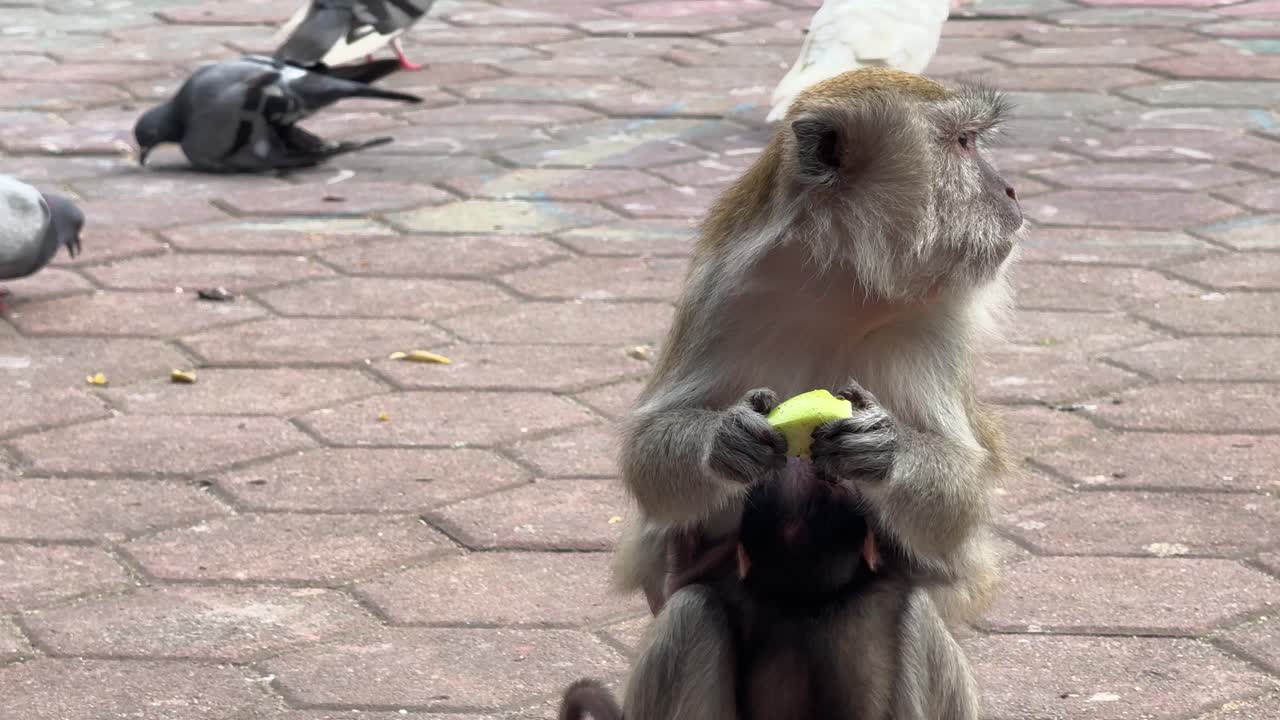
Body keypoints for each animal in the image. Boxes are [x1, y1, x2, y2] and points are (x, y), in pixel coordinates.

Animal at [604, 67, 1022, 719]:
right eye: (963, 142)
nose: (1010, 192)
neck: (848, 285)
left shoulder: (938, 327)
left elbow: (957, 510)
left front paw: (886, 451)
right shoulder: (723, 292)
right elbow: (649, 448)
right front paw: (725, 441)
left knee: (913, 613)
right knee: (691, 613)